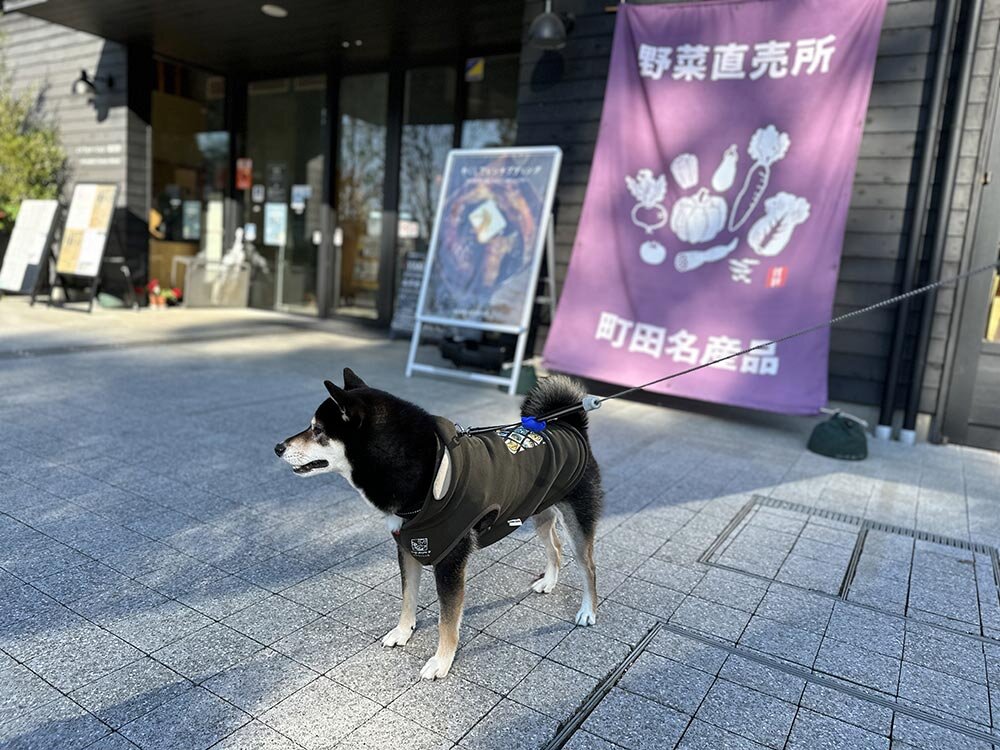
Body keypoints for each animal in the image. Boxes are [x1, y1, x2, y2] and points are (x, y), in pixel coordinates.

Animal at [274, 370, 600, 680]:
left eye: (317, 430)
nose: (278, 447)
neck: (426, 473)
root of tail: (571, 425)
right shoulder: (409, 547)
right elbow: (408, 598)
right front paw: (403, 632)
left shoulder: (450, 561)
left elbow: (447, 620)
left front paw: (441, 661)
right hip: (539, 512)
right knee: (555, 548)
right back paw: (549, 582)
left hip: (576, 519)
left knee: (587, 566)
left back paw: (588, 610)